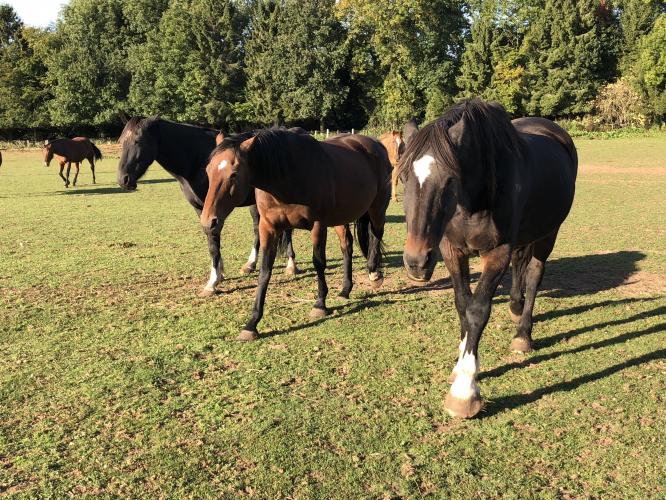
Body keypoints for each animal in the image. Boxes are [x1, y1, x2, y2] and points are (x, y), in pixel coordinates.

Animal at [116, 117, 298, 297]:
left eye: (138, 141)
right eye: (121, 141)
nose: (123, 180)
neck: (195, 159)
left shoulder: (213, 209)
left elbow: (213, 240)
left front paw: (212, 282)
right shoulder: (201, 210)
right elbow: (212, 242)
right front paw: (220, 272)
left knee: (288, 230)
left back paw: (291, 265)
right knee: (257, 229)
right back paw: (250, 264)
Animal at [200, 129, 392, 341]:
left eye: (233, 174)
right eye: (208, 171)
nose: (208, 222)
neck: (288, 174)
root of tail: (375, 144)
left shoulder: (318, 225)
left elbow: (319, 263)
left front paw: (320, 304)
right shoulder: (268, 228)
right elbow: (265, 271)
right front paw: (252, 324)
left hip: (377, 207)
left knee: (376, 235)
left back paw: (374, 273)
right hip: (341, 218)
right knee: (347, 247)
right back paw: (345, 290)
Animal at [399, 99, 577, 418]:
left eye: (449, 180)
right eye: (405, 177)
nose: (416, 262)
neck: (476, 198)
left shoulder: (496, 254)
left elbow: (477, 310)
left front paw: (465, 390)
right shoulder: (451, 250)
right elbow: (462, 304)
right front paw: (459, 363)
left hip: (548, 233)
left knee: (534, 274)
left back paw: (523, 334)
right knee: (521, 265)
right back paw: (516, 307)